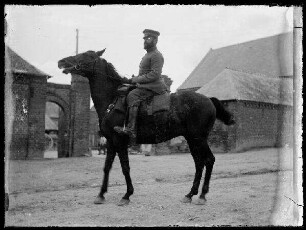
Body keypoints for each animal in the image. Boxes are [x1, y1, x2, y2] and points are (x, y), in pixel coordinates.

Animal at [58, 49, 234, 206]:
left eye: (85, 55)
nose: (62, 62)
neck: (112, 100)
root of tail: (209, 100)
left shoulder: (120, 141)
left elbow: (125, 168)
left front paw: (127, 195)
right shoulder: (110, 142)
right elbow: (107, 167)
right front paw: (101, 194)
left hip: (199, 138)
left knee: (209, 160)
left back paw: (202, 195)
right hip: (192, 139)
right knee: (199, 163)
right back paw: (190, 194)